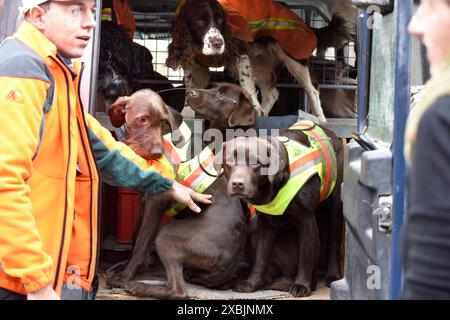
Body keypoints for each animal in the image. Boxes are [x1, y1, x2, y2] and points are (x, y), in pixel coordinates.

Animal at [105, 88, 256, 300]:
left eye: (163, 122)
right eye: (142, 119)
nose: (158, 153)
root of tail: (234, 258)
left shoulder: (156, 201)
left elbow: (141, 242)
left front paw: (125, 275)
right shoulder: (144, 200)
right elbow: (136, 238)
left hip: (167, 235)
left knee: (178, 290)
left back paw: (136, 286)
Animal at [215, 120, 344, 298]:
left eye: (256, 163)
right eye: (229, 162)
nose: (237, 184)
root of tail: (330, 132)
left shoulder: (306, 221)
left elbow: (305, 257)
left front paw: (302, 285)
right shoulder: (265, 224)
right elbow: (261, 258)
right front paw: (251, 283)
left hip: (335, 206)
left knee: (333, 242)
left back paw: (331, 275)